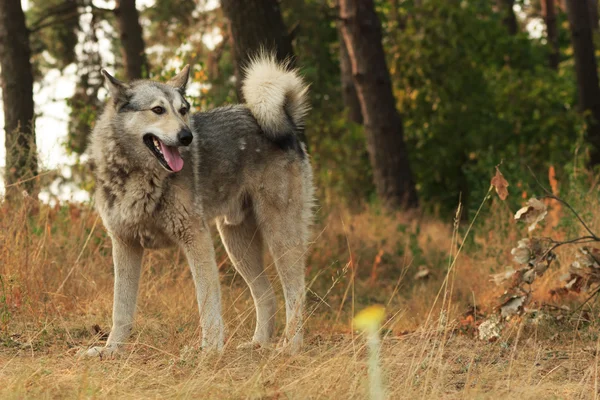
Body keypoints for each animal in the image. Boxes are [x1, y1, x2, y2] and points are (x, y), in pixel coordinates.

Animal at [86, 54, 316, 358]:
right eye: (158, 110)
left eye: (183, 110)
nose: (187, 136)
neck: (139, 176)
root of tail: (287, 121)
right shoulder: (125, 244)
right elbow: (120, 309)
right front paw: (110, 350)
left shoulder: (196, 238)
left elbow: (207, 302)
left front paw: (209, 351)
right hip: (237, 247)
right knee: (267, 296)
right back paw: (258, 344)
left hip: (279, 238)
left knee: (295, 292)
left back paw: (290, 346)